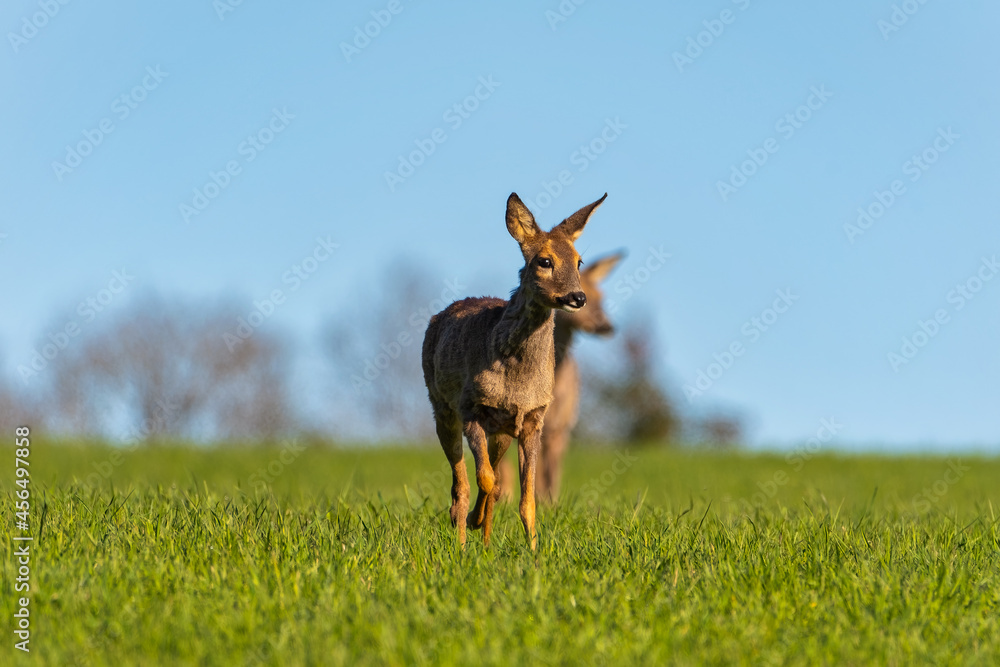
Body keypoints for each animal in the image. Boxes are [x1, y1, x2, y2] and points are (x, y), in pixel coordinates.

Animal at [421, 192, 606, 549]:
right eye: (544, 261)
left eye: (579, 261)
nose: (578, 297)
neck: (517, 381)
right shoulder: (471, 408)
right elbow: (486, 479)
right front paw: (472, 527)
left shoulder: (533, 418)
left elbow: (527, 499)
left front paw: (533, 552)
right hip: (442, 408)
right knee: (461, 485)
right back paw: (463, 535)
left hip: (502, 431)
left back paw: (484, 540)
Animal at [498, 250, 625, 504]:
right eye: (584, 296)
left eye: (602, 296)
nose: (606, 326)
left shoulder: (560, 426)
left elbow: (548, 473)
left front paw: (549, 504)